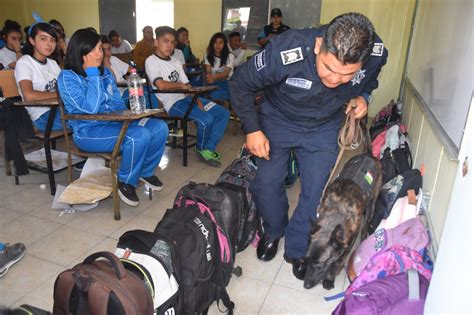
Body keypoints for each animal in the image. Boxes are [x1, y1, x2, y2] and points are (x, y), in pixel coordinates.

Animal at [304, 152, 382, 290]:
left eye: (320, 263)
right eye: (307, 260)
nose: (306, 285)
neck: (335, 213)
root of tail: (370, 155)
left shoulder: (348, 242)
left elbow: (338, 261)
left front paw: (330, 279)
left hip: (371, 207)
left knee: (365, 226)